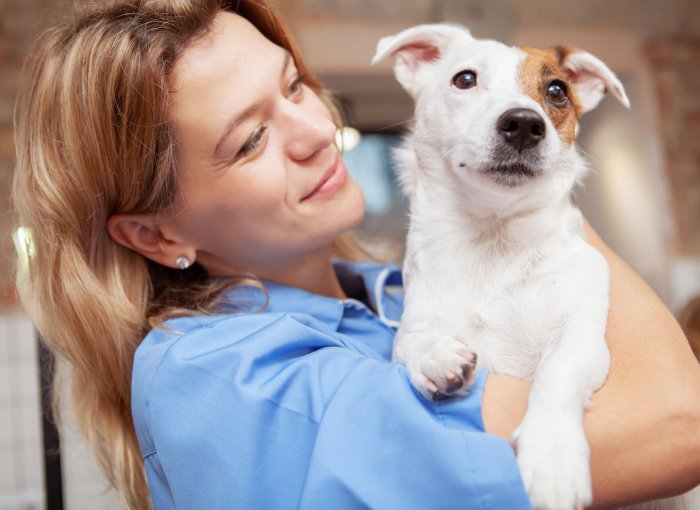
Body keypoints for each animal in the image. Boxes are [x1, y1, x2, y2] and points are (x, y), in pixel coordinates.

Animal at [374, 23, 700, 510]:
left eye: (557, 91)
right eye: (464, 79)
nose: (525, 124)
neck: (492, 241)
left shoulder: (581, 337)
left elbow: (555, 374)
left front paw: (552, 457)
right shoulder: (416, 319)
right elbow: (405, 342)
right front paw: (434, 356)